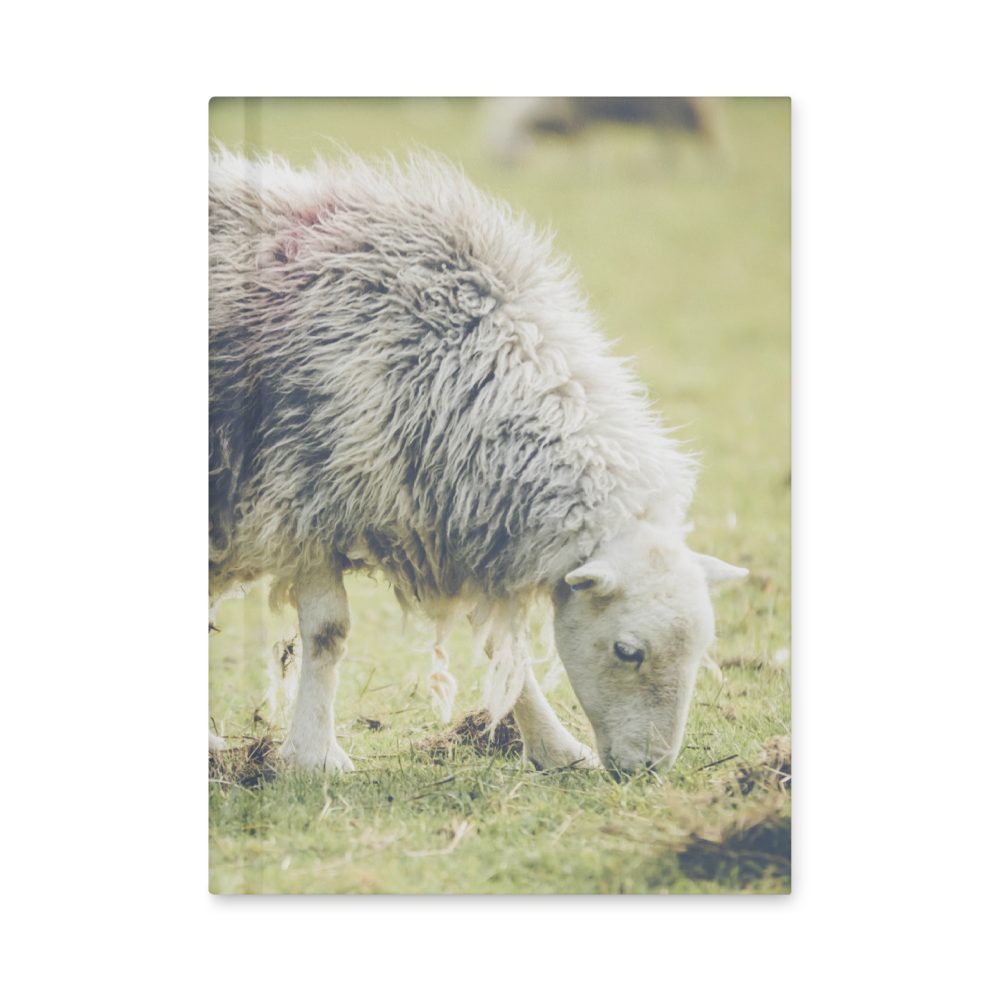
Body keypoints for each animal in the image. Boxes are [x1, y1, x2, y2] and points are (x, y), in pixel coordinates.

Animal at [208, 145, 746, 775]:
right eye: (626, 650)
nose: (650, 770)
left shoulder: (451, 516)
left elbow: (502, 651)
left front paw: (557, 750)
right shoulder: (306, 495)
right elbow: (328, 632)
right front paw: (316, 758)